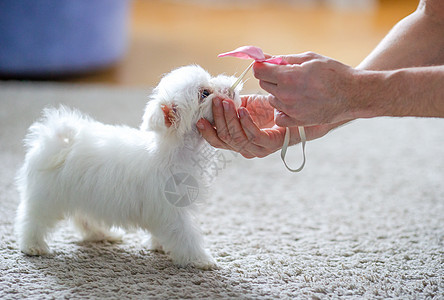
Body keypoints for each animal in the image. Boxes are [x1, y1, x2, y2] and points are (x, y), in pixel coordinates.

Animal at [15, 65, 243, 270]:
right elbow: (186, 235)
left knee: (83, 219)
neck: (173, 150)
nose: (231, 84)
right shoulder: (172, 209)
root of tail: (54, 141)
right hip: (47, 197)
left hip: (82, 194)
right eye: (204, 93)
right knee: (32, 219)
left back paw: (103, 234)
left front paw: (159, 245)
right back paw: (33, 246)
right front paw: (200, 260)